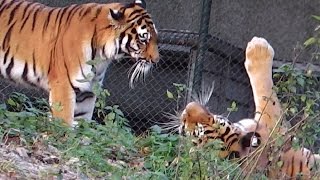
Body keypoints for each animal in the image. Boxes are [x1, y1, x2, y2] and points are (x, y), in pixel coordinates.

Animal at [0, 0, 159, 126]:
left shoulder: (87, 92)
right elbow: (64, 123)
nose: (156, 60)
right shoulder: (63, 86)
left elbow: (83, 124)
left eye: (155, 37)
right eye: (143, 39)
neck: (102, 57)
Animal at [169, 37, 318, 179]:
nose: (189, 106)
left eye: (213, 119)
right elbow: (266, 94)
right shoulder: (277, 130)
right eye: (192, 130)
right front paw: (258, 48)